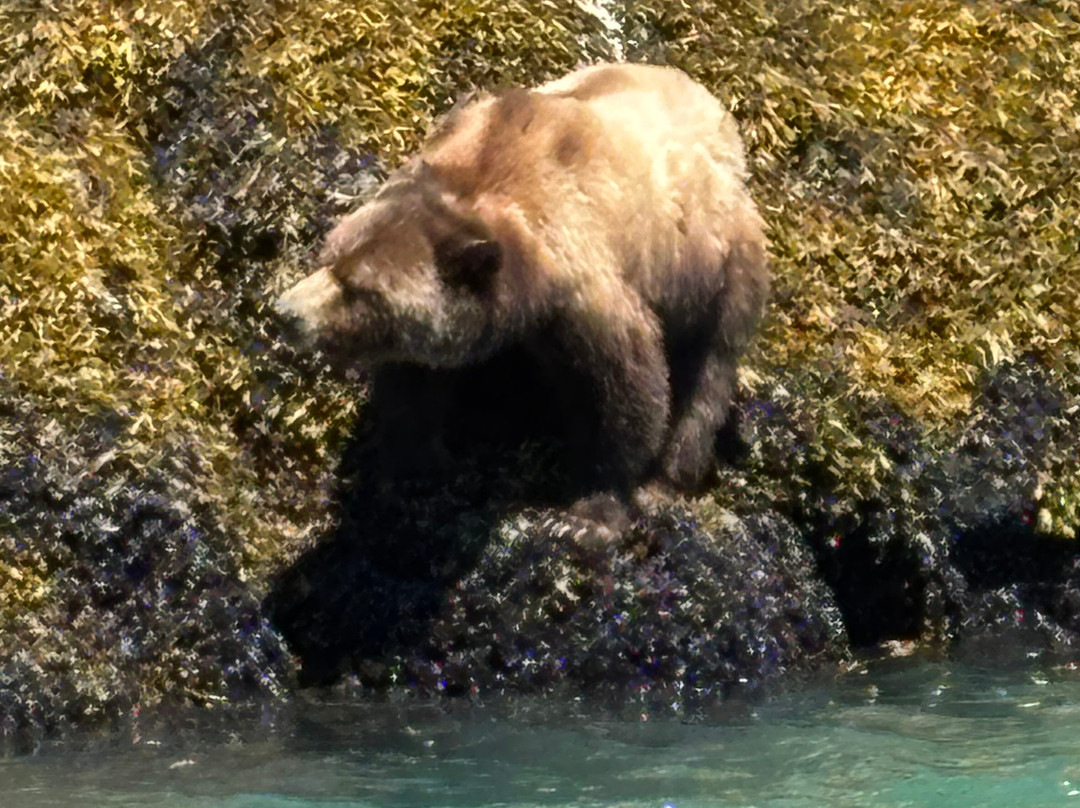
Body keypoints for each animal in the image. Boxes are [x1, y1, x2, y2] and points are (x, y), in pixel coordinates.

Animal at [278, 62, 769, 500]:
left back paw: (669, 479)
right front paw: (412, 461)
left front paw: (593, 507)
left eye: (359, 288)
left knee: (708, 375)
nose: (287, 312)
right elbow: (416, 383)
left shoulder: (583, 290)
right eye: (329, 256)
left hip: (724, 266)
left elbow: (631, 388)